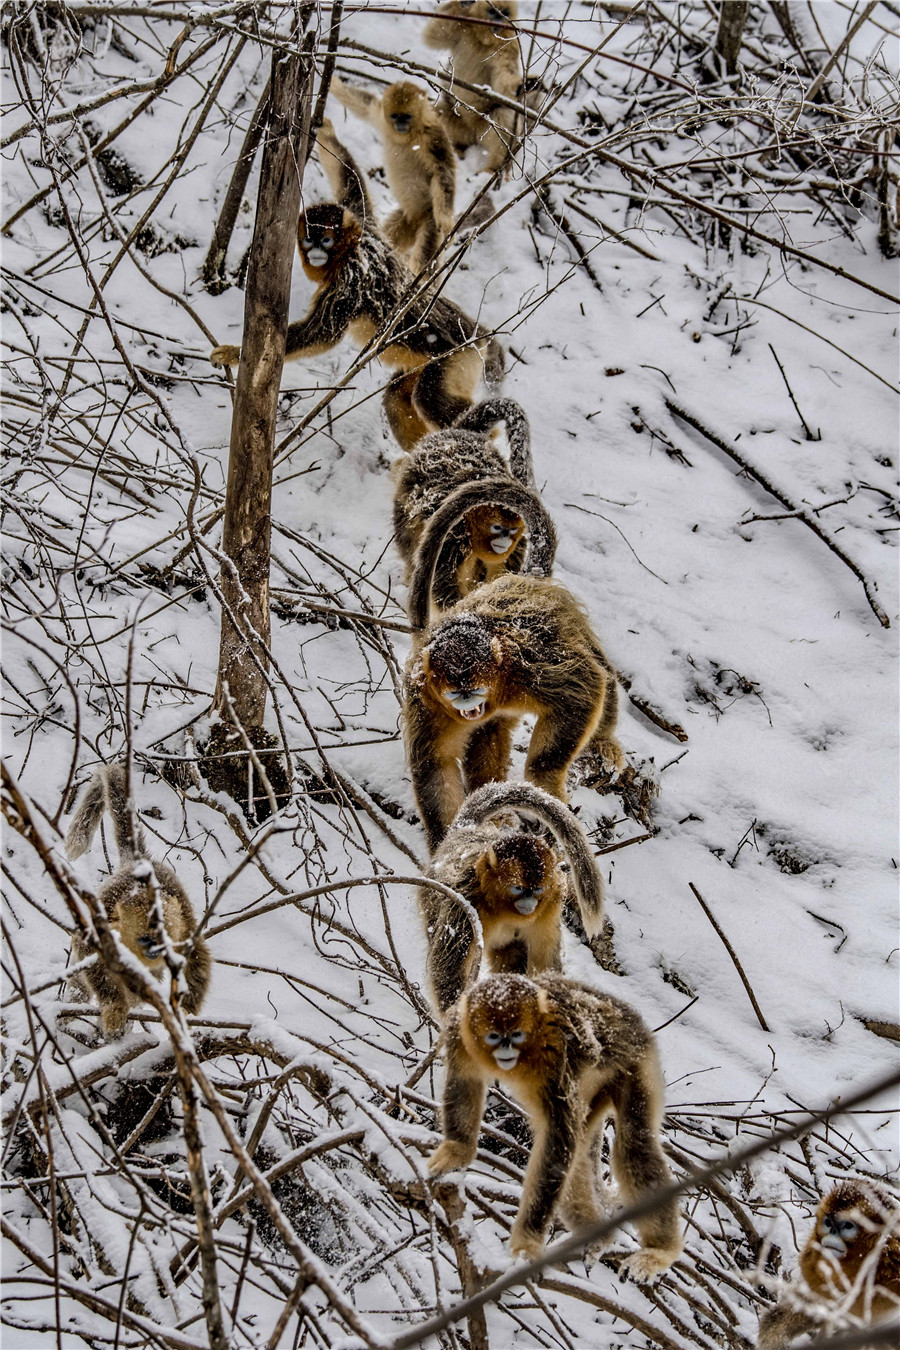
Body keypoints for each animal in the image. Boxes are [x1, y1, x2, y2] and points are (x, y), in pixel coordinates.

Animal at [65, 766, 209, 1036]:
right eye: (145, 939)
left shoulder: (184, 925)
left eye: (165, 939)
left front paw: (186, 1013)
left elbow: (198, 960)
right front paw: (115, 1008)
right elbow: (92, 960)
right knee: (80, 977)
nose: (156, 952)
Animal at [423, 783, 604, 1015]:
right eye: (517, 888)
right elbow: (447, 970)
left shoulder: (550, 903)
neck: (502, 909)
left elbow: (545, 961)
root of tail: (465, 829)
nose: (529, 904)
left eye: (538, 889)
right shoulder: (466, 901)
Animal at [431, 972, 682, 1274]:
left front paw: (526, 1244)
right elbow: (465, 1082)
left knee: (634, 1144)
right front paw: (456, 1150)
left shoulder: (558, 1048)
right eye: (494, 1036)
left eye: (517, 1034)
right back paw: (599, 1238)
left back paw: (659, 1252)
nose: (506, 1048)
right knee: (580, 1156)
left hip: (637, 1059)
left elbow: (557, 1136)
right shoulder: (459, 1033)